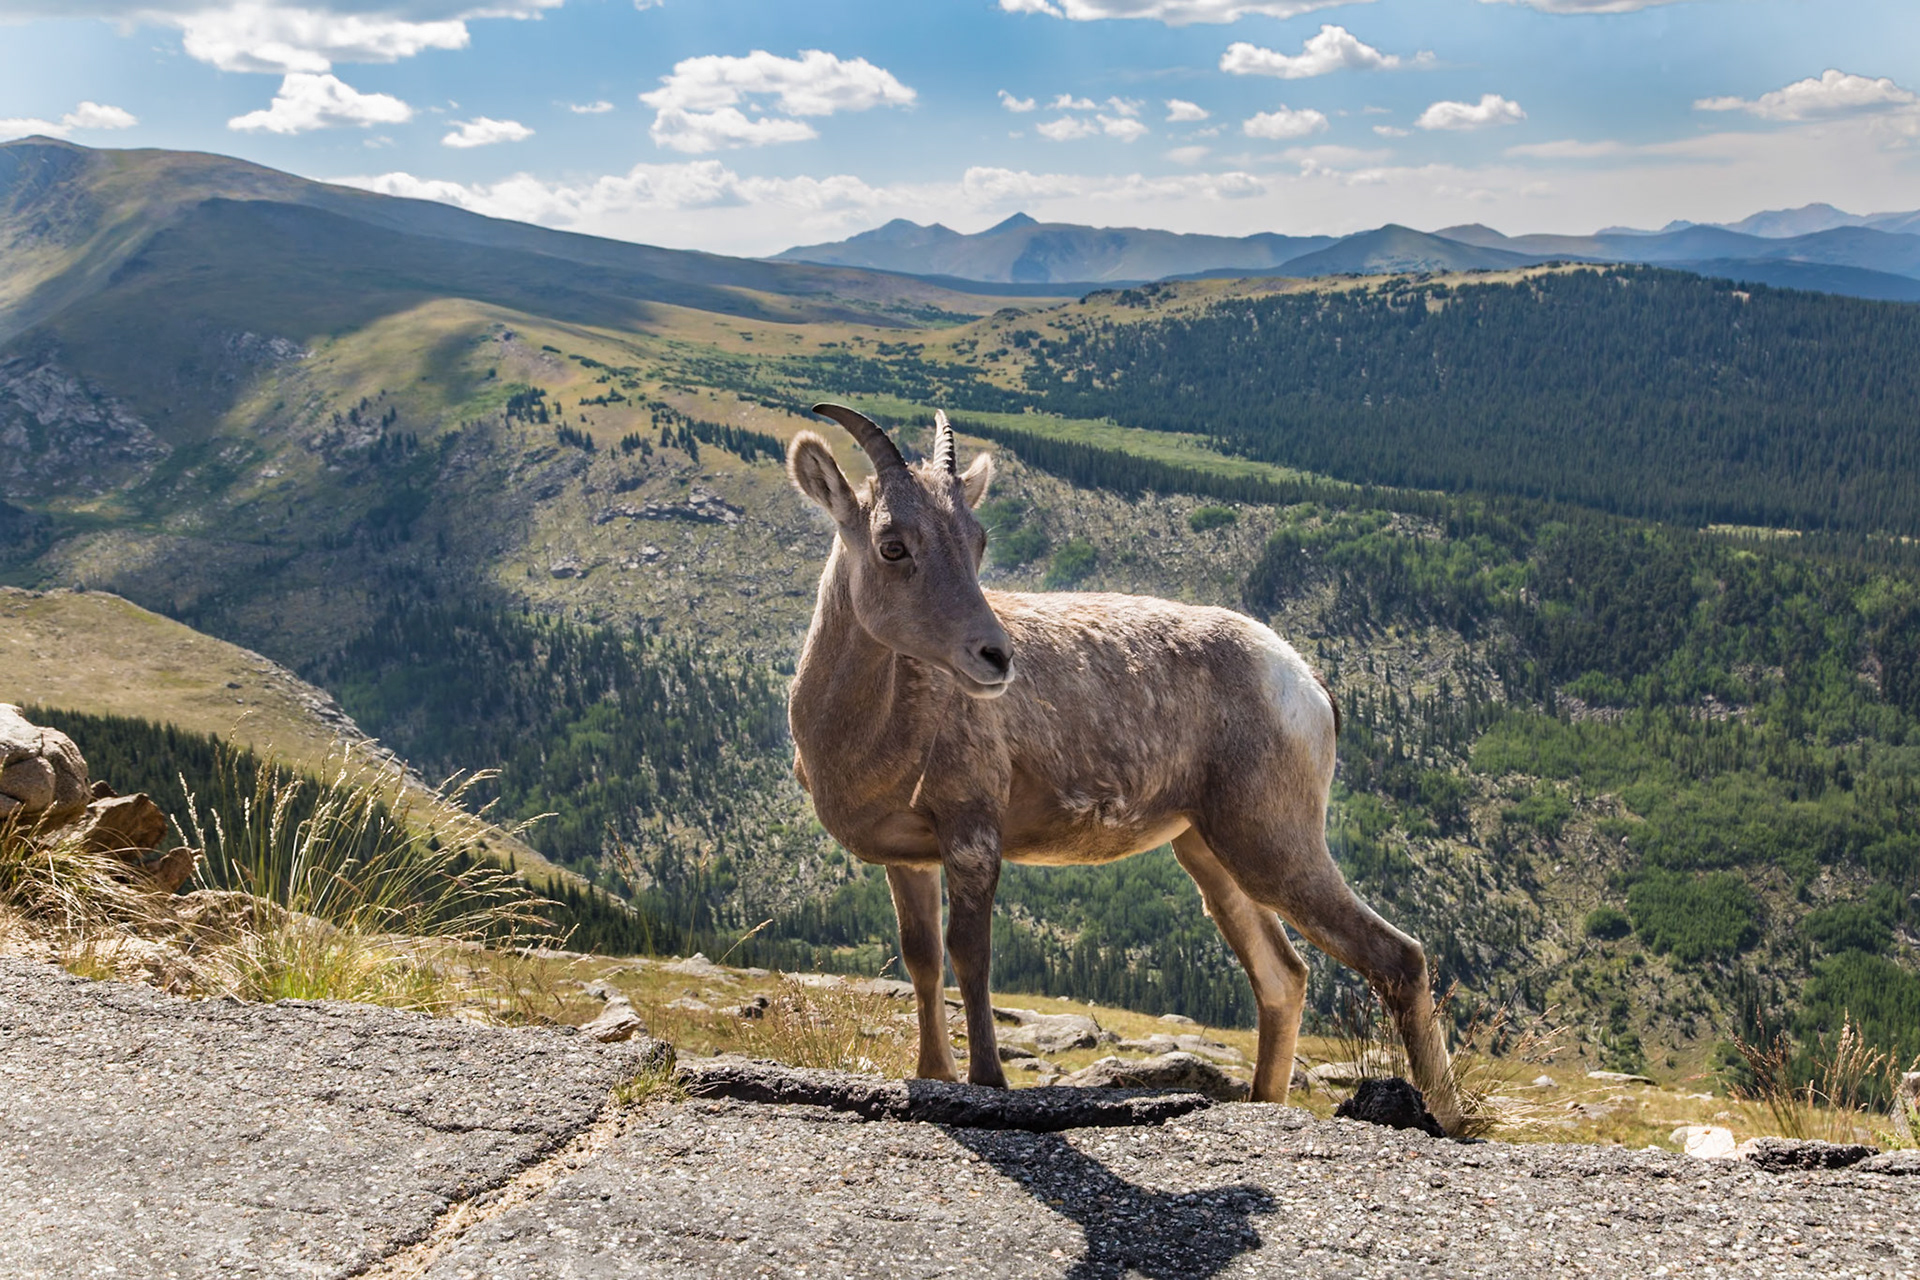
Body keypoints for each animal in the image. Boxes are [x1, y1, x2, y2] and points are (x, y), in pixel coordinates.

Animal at [785, 403, 1463, 1133]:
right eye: (893, 545)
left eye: (977, 541)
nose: (995, 657)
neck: (875, 727)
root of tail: (1305, 683)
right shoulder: (910, 860)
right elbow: (924, 959)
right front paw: (932, 1074)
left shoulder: (972, 837)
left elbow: (971, 956)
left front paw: (988, 1081)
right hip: (1212, 857)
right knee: (1283, 977)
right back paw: (1263, 1100)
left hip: (1275, 845)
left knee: (1396, 957)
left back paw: (1452, 1120)